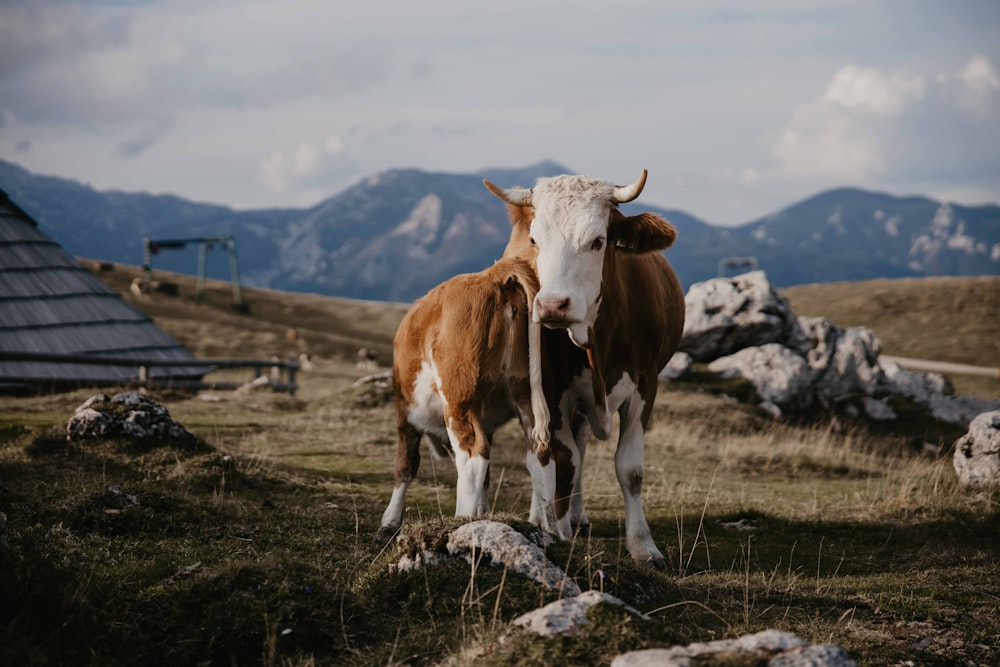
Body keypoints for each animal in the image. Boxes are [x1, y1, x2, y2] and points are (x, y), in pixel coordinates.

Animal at [376, 256, 552, 544]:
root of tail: (492, 276)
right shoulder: (488, 420)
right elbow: (487, 478)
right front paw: (484, 512)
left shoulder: (405, 414)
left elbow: (405, 466)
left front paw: (389, 524)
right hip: (524, 394)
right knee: (538, 452)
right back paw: (542, 525)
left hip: (458, 397)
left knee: (472, 454)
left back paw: (460, 522)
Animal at [486, 170, 688, 568]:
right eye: (534, 240)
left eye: (598, 241)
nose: (552, 304)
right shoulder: (551, 390)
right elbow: (563, 461)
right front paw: (557, 531)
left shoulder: (645, 384)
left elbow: (629, 469)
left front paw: (643, 546)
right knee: (546, 455)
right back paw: (546, 516)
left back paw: (577, 516)